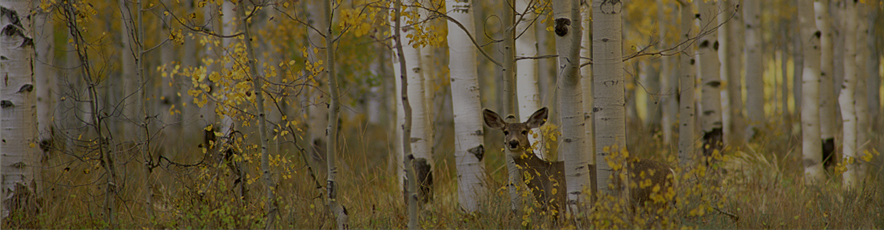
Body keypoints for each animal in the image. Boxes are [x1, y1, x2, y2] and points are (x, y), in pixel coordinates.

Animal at [484, 107, 676, 216]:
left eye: (524, 131)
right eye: (505, 131)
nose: (513, 142)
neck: (544, 181)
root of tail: (671, 171)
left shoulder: (560, 205)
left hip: (654, 202)